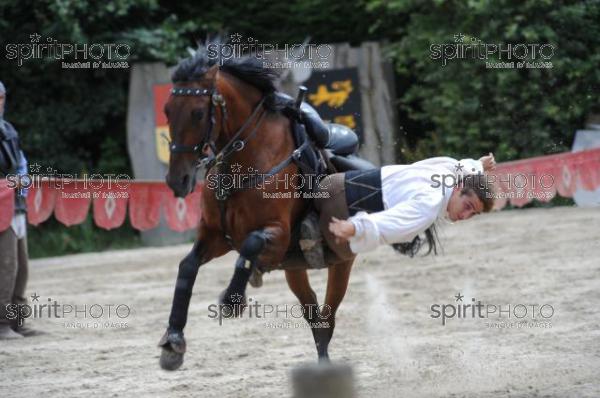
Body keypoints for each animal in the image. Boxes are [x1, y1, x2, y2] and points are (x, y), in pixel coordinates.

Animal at [158, 49, 356, 370]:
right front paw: (173, 340)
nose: (177, 180)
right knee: (314, 315)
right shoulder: (216, 237)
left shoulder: (278, 235)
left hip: (341, 263)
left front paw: (232, 299)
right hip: (295, 270)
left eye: (198, 113)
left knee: (327, 317)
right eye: (166, 111)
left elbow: (251, 244)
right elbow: (187, 266)